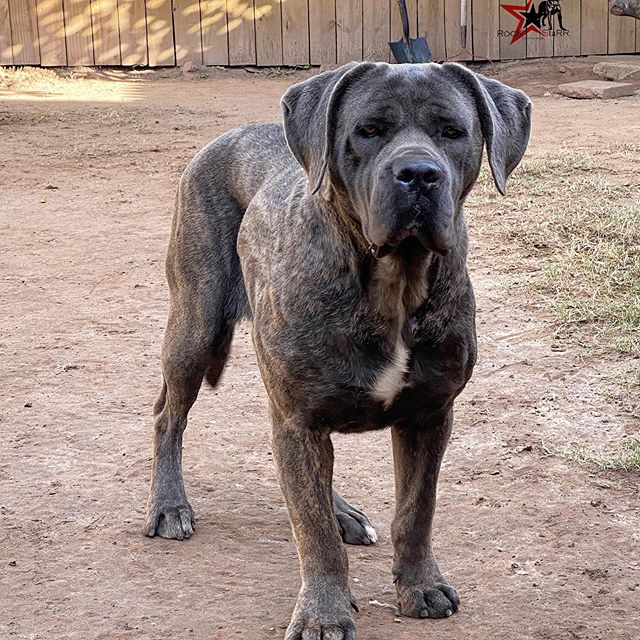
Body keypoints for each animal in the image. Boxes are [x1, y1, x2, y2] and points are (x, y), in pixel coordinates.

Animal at [148, 61, 532, 640]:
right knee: (168, 415)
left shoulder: (428, 415)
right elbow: (314, 534)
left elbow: (416, 511)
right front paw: (323, 612)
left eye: (452, 131)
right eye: (368, 131)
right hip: (195, 325)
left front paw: (420, 587)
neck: (394, 283)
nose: (418, 174)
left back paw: (343, 512)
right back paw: (169, 505)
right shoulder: (298, 416)